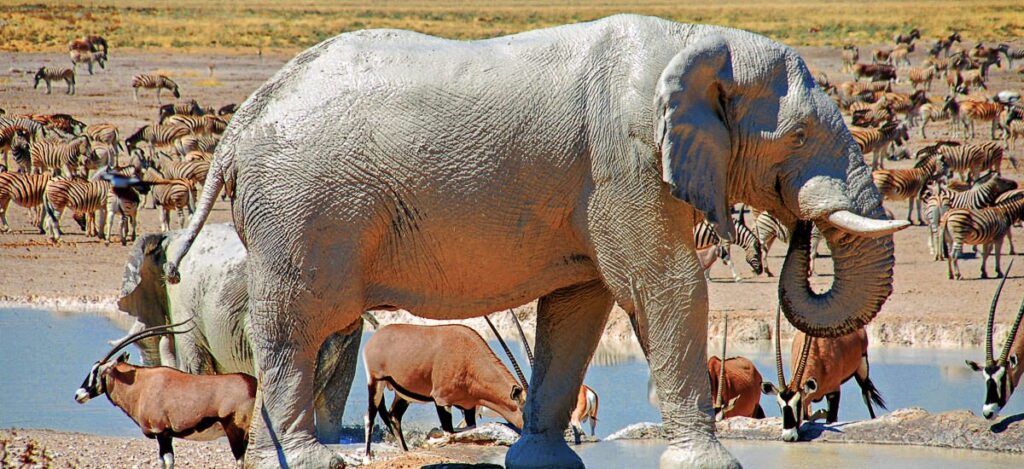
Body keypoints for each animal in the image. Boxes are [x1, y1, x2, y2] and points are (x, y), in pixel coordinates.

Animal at [165, 14, 908, 468]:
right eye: (801, 137)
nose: (801, 227)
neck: (695, 36)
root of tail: (244, 115)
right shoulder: (623, 161)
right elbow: (665, 286)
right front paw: (711, 462)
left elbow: (580, 307)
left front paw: (544, 460)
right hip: (301, 209)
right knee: (294, 328)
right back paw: (310, 458)